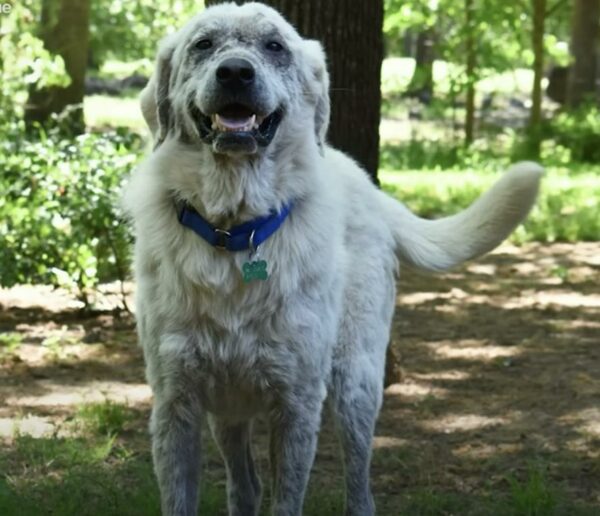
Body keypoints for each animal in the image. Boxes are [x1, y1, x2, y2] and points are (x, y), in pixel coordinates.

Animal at [123, 2, 544, 512]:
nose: (236, 72)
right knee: (246, 487)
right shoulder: (176, 404)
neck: (235, 232)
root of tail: (369, 185)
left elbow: (287, 500)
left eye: (275, 46)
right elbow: (185, 496)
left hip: (355, 382)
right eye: (203, 44)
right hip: (228, 407)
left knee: (360, 486)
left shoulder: (298, 403)